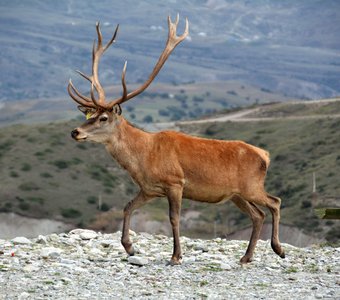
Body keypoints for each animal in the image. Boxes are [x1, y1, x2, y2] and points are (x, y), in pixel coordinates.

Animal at [68, 16, 284, 264]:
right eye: (90, 115)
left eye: (103, 118)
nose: (75, 132)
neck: (144, 157)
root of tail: (265, 155)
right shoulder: (149, 188)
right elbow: (127, 207)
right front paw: (130, 248)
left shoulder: (175, 182)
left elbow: (174, 218)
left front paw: (175, 256)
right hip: (236, 194)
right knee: (258, 214)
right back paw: (246, 257)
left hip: (252, 186)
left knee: (275, 202)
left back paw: (278, 248)